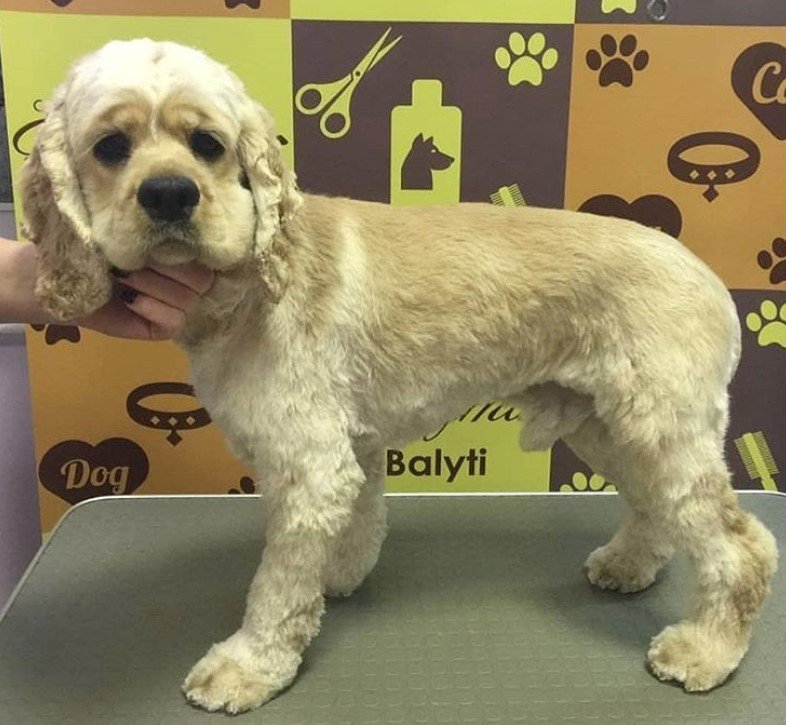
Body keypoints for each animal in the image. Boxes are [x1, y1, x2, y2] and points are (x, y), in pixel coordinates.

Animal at [21, 39, 776, 712]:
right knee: (656, 508)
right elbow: (357, 521)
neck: (257, 279)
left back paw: (705, 648)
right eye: (110, 147)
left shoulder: (307, 461)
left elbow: (276, 584)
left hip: (659, 424)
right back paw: (628, 566)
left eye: (208, 143)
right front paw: (336, 578)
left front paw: (251, 665)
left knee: (742, 545)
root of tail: (710, 279)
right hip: (608, 423)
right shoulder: (347, 448)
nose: (170, 195)